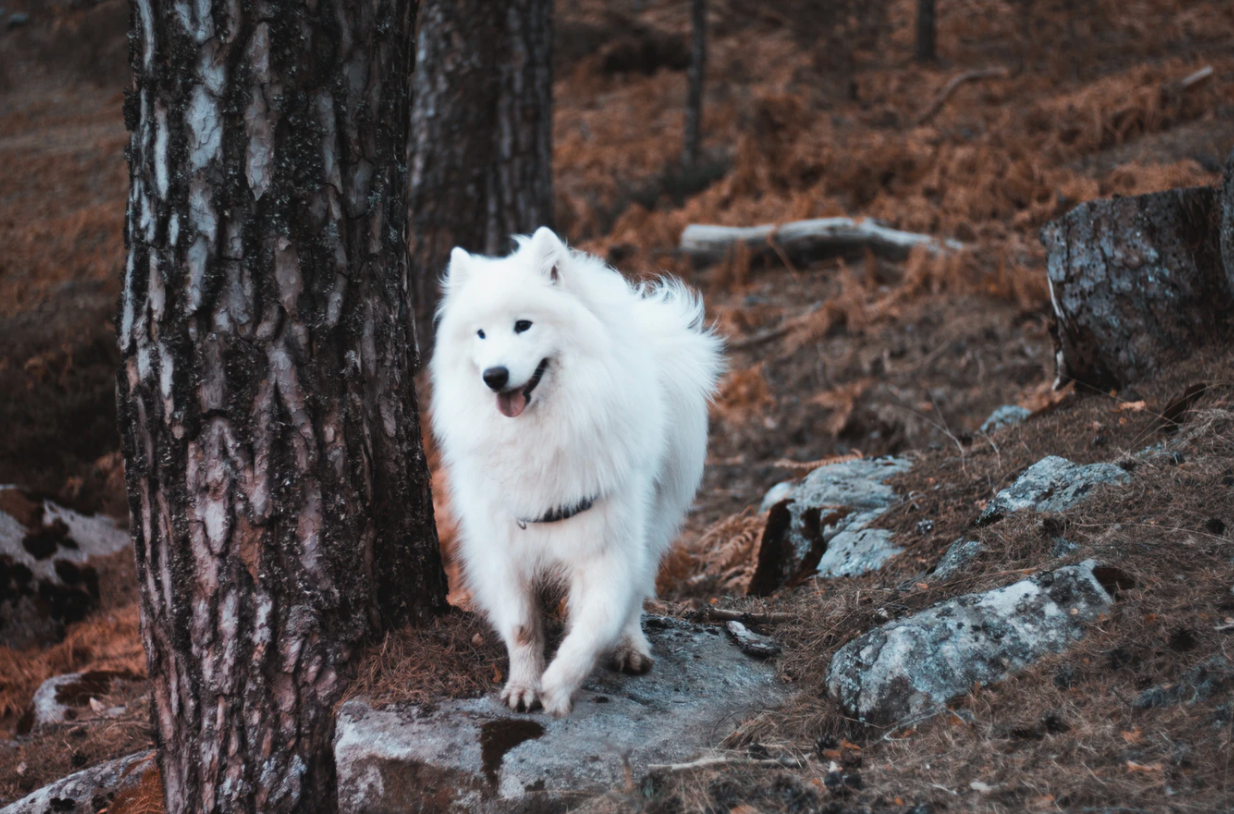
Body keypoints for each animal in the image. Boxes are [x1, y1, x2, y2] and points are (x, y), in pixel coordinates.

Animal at [431, 225, 720, 715]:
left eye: (523, 325)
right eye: (481, 334)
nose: (494, 375)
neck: (537, 436)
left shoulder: (605, 545)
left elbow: (595, 624)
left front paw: (558, 684)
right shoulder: (504, 550)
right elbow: (522, 628)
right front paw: (524, 685)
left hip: (650, 522)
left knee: (635, 595)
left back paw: (631, 648)